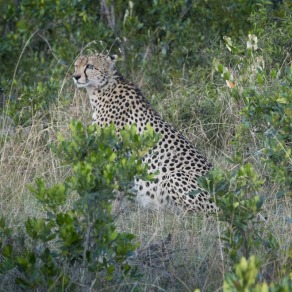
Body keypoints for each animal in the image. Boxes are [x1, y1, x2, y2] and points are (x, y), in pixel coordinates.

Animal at [73, 52, 219, 213]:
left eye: (90, 66)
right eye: (76, 65)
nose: (76, 76)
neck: (101, 89)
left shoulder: (115, 153)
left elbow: (113, 187)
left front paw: (109, 211)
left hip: (173, 177)